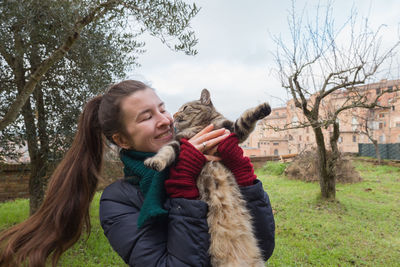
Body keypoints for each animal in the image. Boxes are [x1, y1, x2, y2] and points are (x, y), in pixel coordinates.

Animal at [144, 89, 272, 267]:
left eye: (185, 108)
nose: (174, 114)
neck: (201, 125)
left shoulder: (231, 131)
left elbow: (245, 119)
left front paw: (262, 109)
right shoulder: (181, 142)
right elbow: (166, 151)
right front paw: (155, 161)